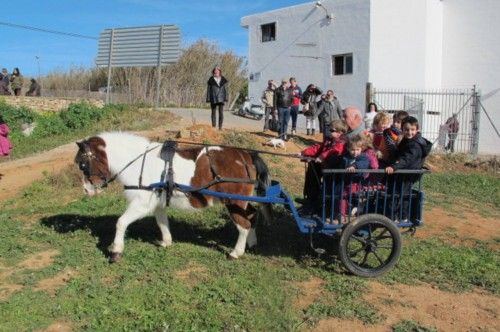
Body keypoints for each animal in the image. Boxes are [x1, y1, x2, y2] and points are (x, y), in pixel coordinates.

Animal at [73, 132, 274, 262]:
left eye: (82, 164)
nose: (86, 190)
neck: (139, 163)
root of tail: (246, 154)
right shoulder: (158, 203)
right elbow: (162, 222)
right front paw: (166, 242)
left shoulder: (141, 204)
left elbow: (121, 222)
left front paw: (116, 251)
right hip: (241, 202)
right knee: (253, 214)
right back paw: (252, 243)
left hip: (233, 201)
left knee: (243, 225)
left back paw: (236, 252)